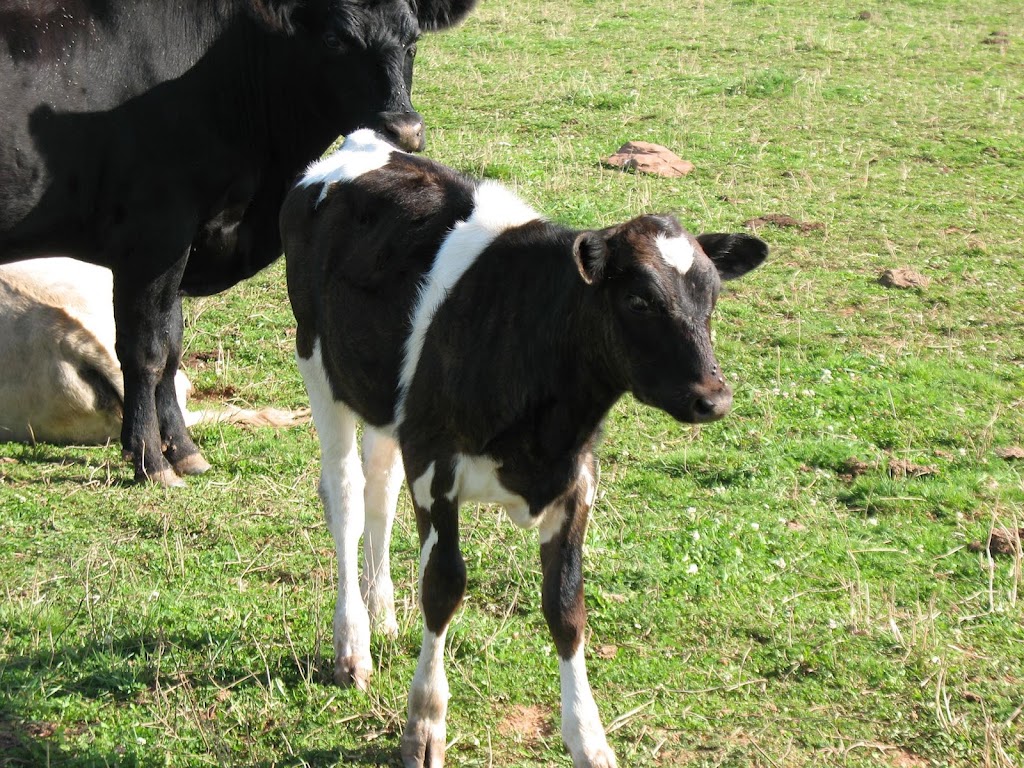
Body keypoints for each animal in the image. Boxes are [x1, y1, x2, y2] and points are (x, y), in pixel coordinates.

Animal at [282, 132, 770, 768]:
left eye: (712, 298)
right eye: (639, 300)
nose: (713, 397)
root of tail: (363, 145)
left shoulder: (577, 481)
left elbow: (566, 607)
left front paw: (589, 739)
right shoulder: (435, 464)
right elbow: (443, 587)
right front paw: (424, 726)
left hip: (385, 404)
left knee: (378, 491)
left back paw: (382, 612)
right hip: (319, 367)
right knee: (344, 499)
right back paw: (353, 645)